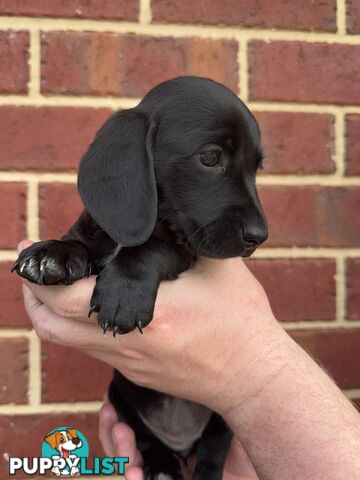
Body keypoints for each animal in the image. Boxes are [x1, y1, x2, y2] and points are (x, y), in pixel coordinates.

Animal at [12, 77, 268, 478]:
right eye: (211, 157)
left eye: (257, 167)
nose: (259, 236)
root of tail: (180, 439)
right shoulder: (96, 231)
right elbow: (81, 241)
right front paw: (52, 254)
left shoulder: (183, 249)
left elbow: (150, 249)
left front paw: (124, 295)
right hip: (121, 398)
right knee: (147, 439)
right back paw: (161, 464)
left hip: (221, 419)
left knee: (212, 452)